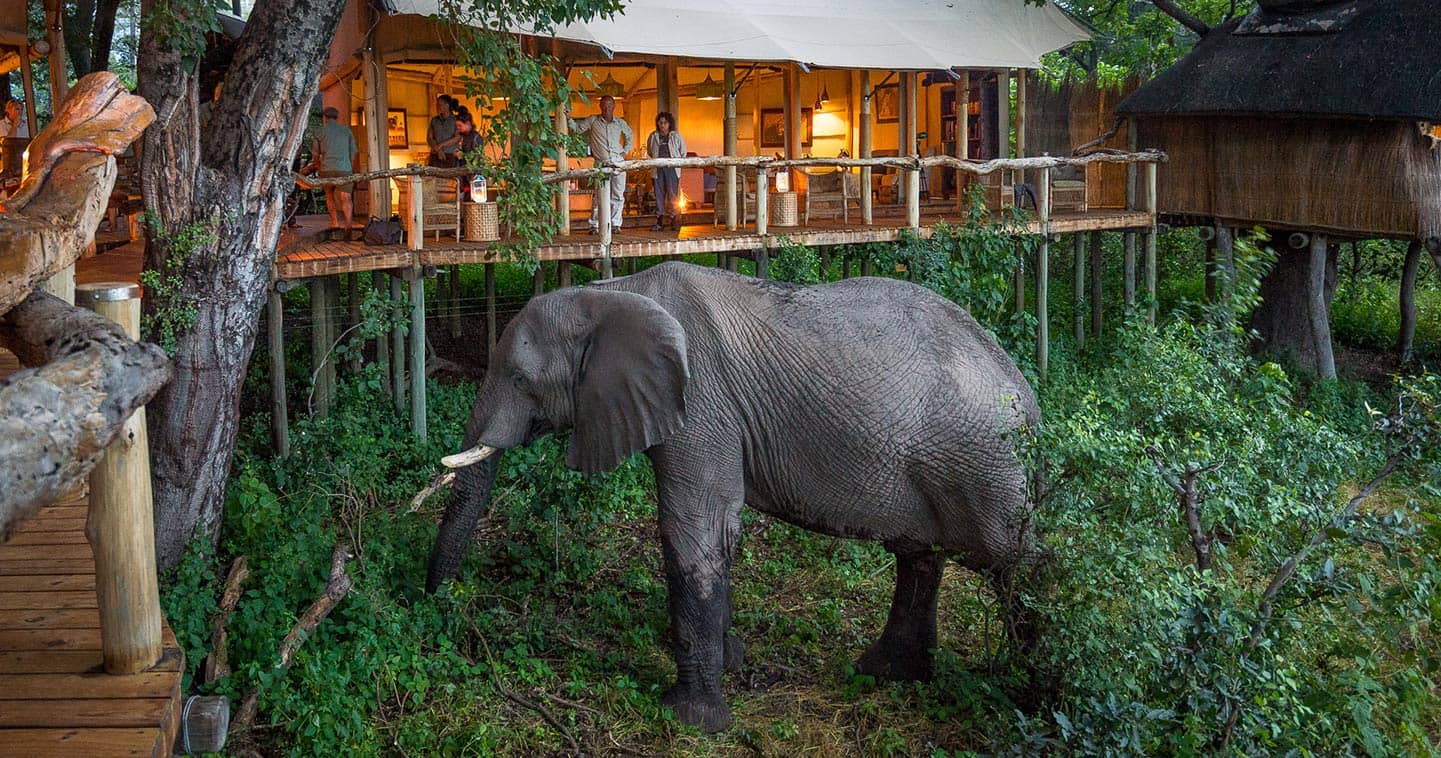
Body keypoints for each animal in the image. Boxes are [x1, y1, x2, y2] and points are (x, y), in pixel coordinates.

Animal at [420, 259, 1043, 732]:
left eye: (521, 381)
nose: (432, 606)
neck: (613, 293)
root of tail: (1027, 394)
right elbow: (722, 529)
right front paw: (733, 660)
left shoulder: (701, 404)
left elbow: (693, 524)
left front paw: (689, 719)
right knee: (920, 557)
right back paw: (882, 675)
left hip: (984, 465)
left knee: (1016, 566)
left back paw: (1030, 700)